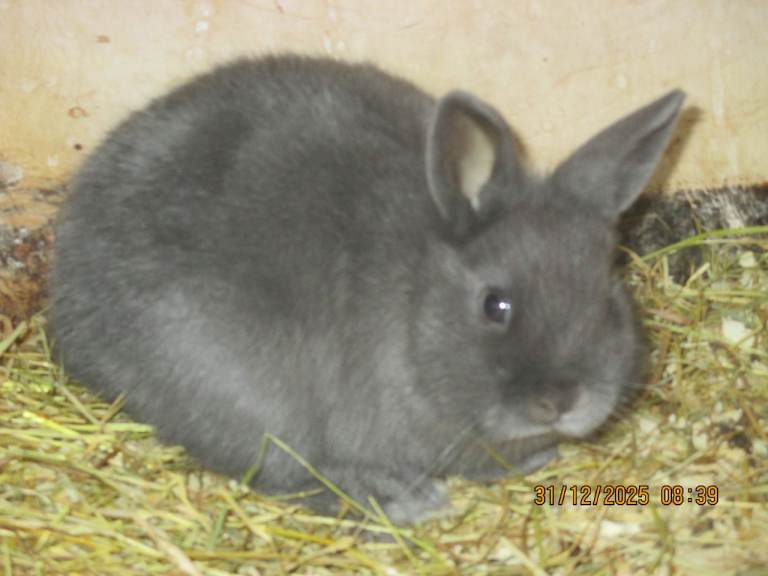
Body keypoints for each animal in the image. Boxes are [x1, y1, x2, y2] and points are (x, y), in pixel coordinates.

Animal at [50, 54, 684, 524]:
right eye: (494, 304)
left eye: (607, 294)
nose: (562, 400)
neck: (416, 308)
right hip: (243, 392)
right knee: (285, 473)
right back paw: (398, 499)